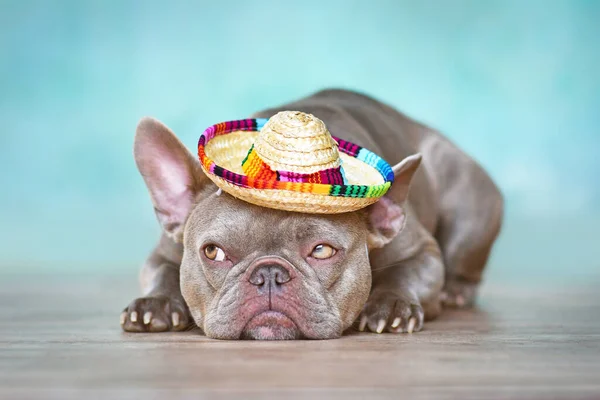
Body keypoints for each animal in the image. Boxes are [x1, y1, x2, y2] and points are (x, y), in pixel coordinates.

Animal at [120, 89, 502, 340]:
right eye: (212, 252)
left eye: (322, 251)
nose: (269, 273)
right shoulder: (163, 252)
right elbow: (162, 271)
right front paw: (155, 303)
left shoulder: (422, 251)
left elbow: (406, 272)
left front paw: (391, 305)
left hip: (471, 206)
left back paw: (455, 292)